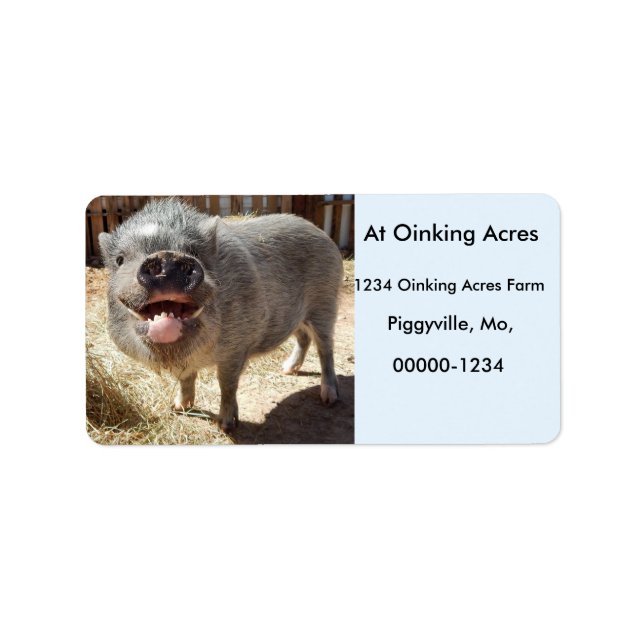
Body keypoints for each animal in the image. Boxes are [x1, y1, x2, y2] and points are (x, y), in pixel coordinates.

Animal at [97, 197, 344, 431]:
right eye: (120, 260)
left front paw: (226, 425)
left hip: (326, 303)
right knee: (303, 338)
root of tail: (319, 231)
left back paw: (329, 398)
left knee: (325, 349)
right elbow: (186, 378)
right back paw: (286, 370)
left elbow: (226, 383)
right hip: (299, 316)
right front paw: (177, 408)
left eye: (194, 252)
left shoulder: (236, 348)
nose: (166, 257)